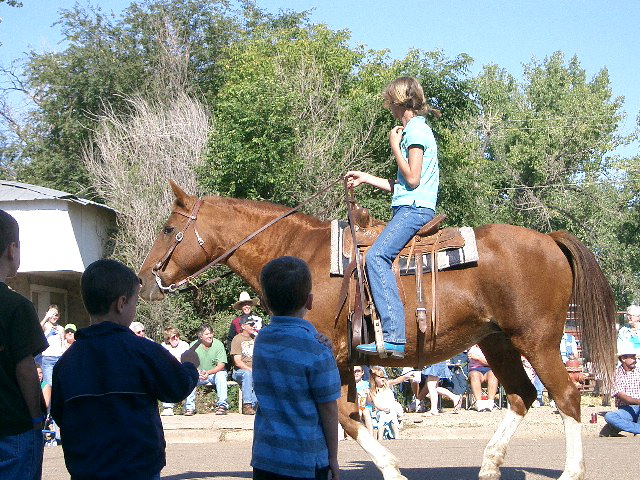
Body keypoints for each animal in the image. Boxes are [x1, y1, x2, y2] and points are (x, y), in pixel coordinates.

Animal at [140, 181, 616, 480]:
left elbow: (342, 417)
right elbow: (348, 417)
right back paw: (489, 464)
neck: (299, 258)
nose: (145, 280)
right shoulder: (342, 360)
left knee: (566, 397)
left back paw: (571, 472)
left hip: (537, 340)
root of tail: (550, 240)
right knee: (522, 395)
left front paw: (390, 468)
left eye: (168, 229)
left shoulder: (328, 355)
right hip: (497, 341)